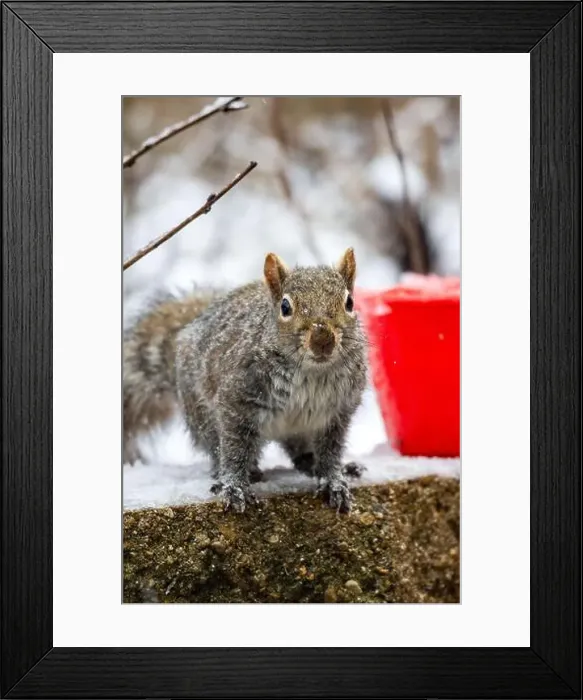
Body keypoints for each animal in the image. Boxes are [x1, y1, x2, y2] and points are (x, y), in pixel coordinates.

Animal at [123, 248, 367, 513]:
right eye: (285, 306)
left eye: (349, 302)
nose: (322, 338)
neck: (311, 372)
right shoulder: (238, 399)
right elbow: (234, 448)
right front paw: (234, 486)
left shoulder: (337, 412)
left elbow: (331, 450)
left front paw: (334, 480)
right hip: (203, 416)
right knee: (218, 449)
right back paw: (244, 471)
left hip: (301, 429)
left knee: (300, 451)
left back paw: (323, 464)